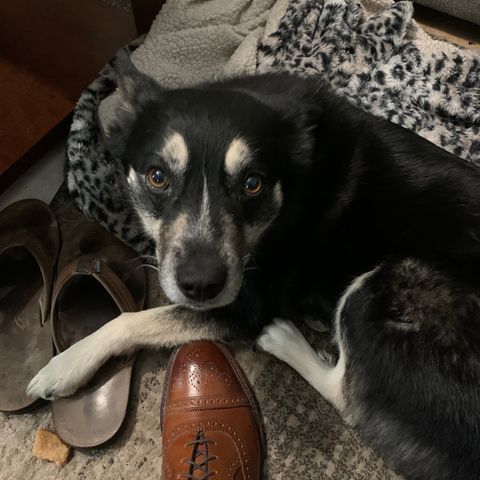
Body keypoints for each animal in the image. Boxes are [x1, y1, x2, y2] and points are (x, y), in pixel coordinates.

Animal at [28, 52, 480, 480]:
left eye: (252, 183)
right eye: (157, 176)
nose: (201, 285)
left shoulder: (244, 304)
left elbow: (132, 320)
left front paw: (65, 364)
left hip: (383, 284)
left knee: (350, 400)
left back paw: (286, 339)